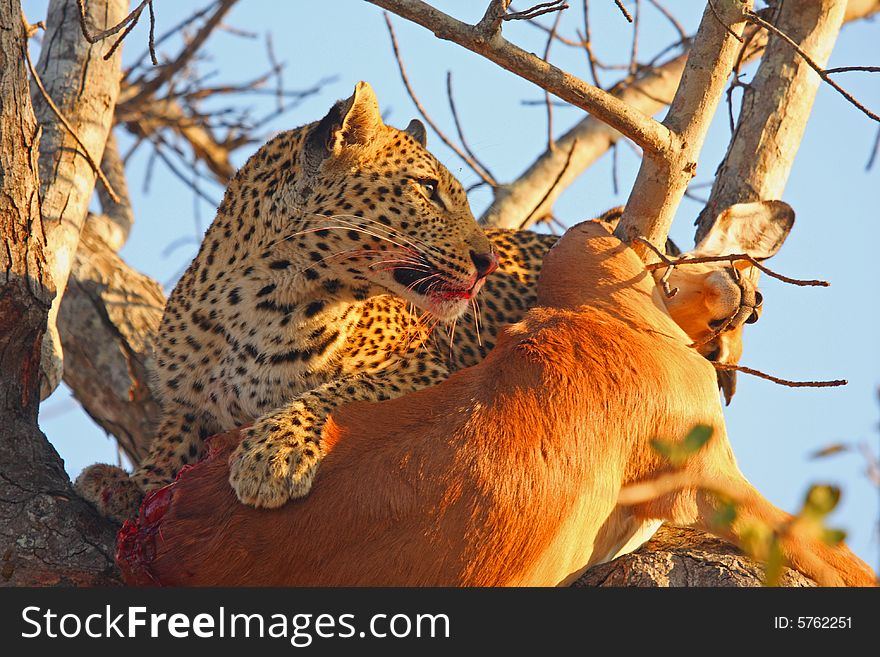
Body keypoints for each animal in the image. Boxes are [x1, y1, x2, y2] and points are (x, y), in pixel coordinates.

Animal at [74, 82, 792, 524]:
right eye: (426, 189)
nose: (486, 260)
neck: (254, 302)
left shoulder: (427, 370)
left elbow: (334, 390)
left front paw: (271, 454)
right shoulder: (189, 398)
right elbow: (172, 431)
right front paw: (132, 484)